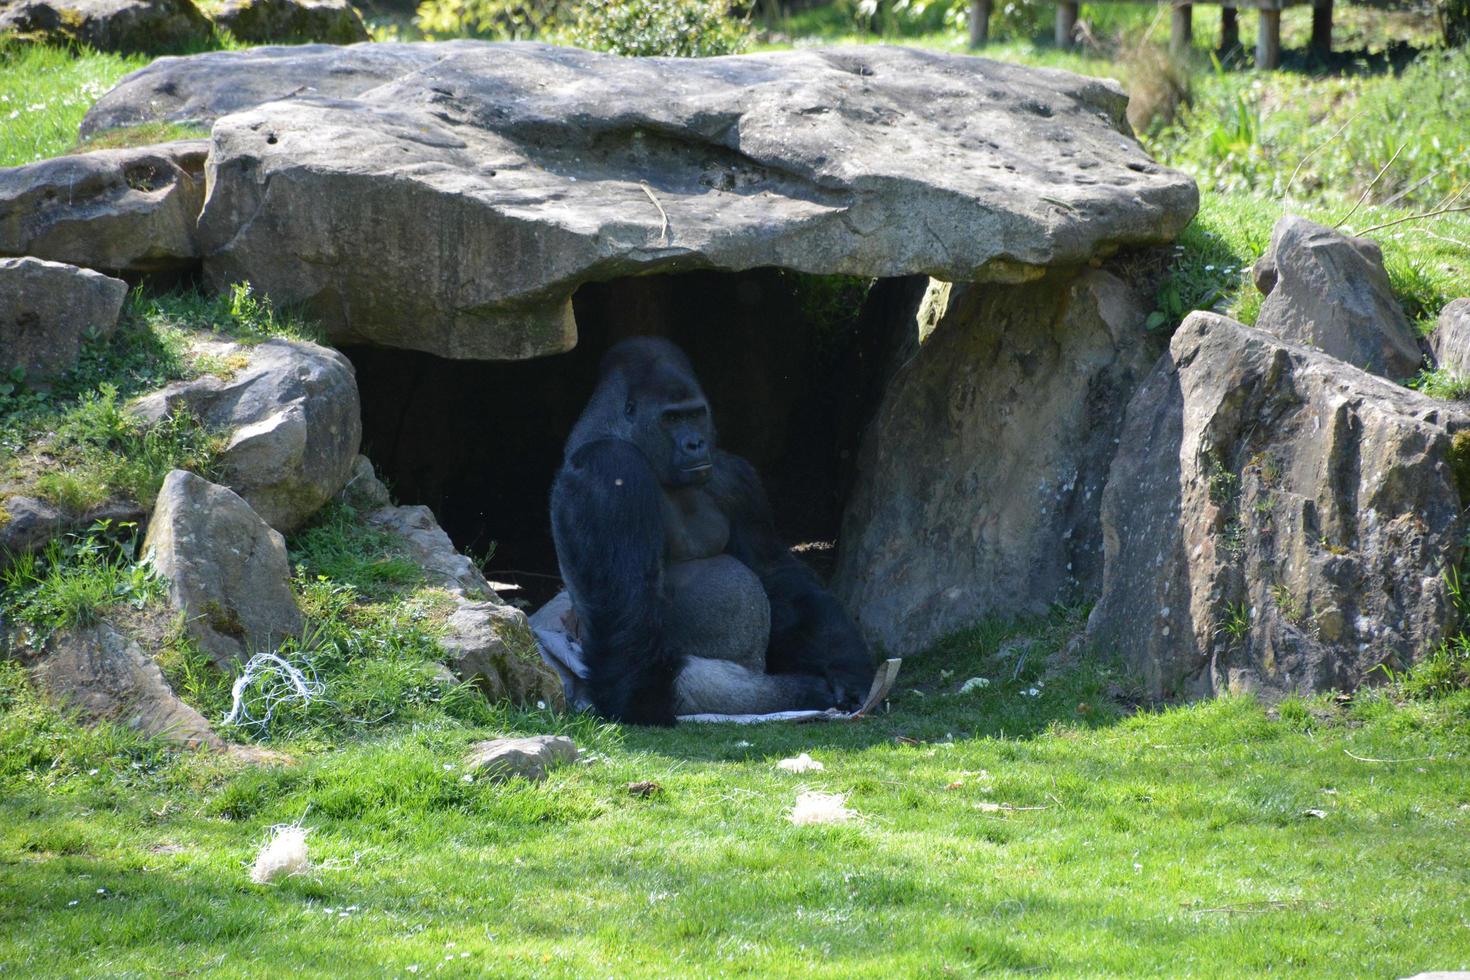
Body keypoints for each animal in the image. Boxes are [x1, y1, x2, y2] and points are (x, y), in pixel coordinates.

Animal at [549, 337, 870, 728]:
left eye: (695, 414)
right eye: (671, 418)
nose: (695, 444)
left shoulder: (732, 477)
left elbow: (774, 571)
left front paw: (846, 667)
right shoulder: (610, 468)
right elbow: (629, 604)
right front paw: (638, 705)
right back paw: (804, 692)